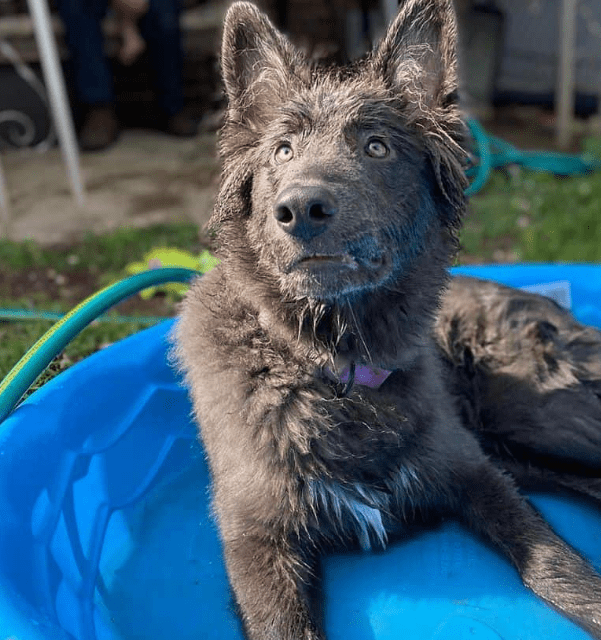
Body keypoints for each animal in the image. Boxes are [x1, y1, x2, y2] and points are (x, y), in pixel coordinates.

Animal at [175, 2, 601, 636]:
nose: (300, 210)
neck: (337, 367)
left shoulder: (478, 474)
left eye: (377, 147)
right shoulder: (259, 538)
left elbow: (554, 566)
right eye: (283, 151)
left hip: (538, 420)